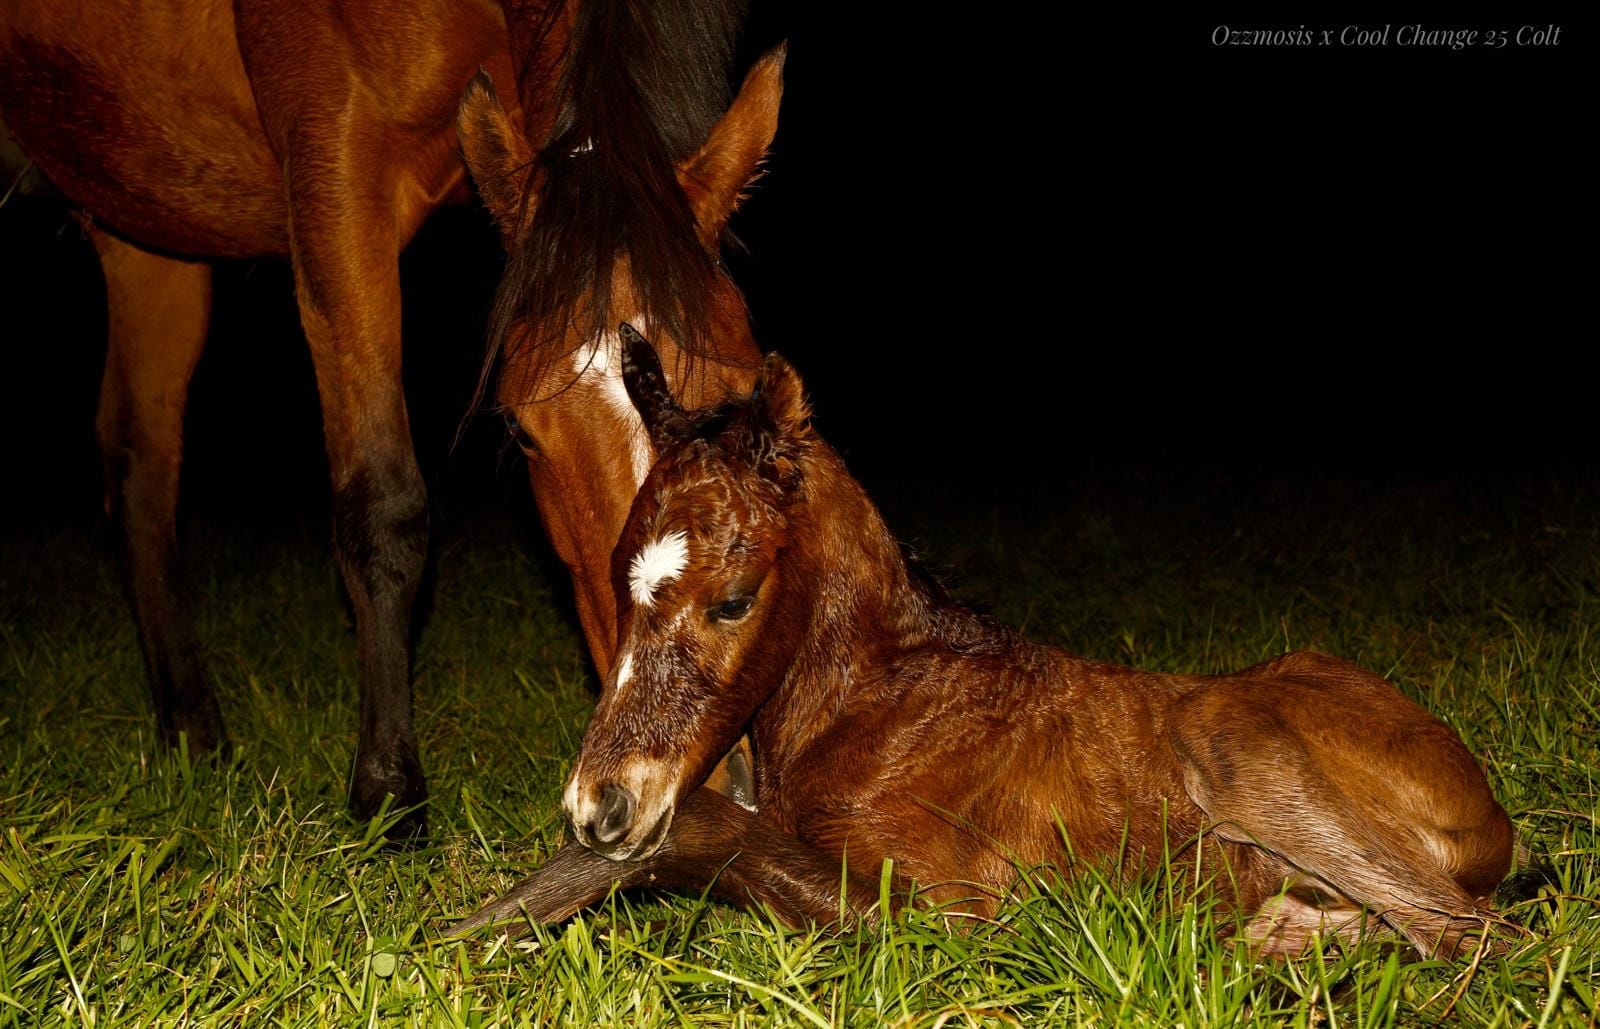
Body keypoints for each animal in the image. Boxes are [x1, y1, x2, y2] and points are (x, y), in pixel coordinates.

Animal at [0, 0, 775, 832]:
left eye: (734, 396)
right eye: (519, 431)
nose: (700, 786)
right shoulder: (335, 172)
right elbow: (383, 505)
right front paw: (388, 790)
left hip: (148, 229)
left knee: (140, 469)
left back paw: (193, 735)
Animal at [452, 326, 1515, 958]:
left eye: (734, 598)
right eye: (619, 576)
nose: (600, 804)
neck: (877, 703)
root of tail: (1492, 816)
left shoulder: (955, 911)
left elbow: (707, 832)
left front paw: (467, 932)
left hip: (1229, 737)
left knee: (1477, 934)